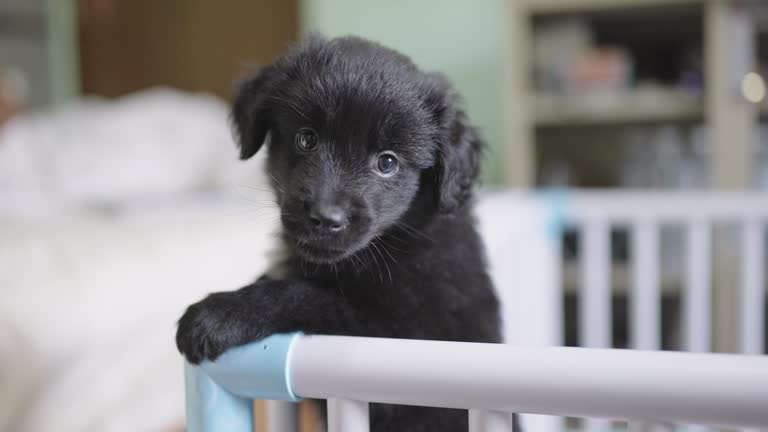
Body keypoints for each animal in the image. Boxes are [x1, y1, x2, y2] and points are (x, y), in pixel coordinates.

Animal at [176, 34, 508, 432]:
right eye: (306, 140)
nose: (326, 217)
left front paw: (218, 314)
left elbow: (309, 295)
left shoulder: (396, 338)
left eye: (387, 162)